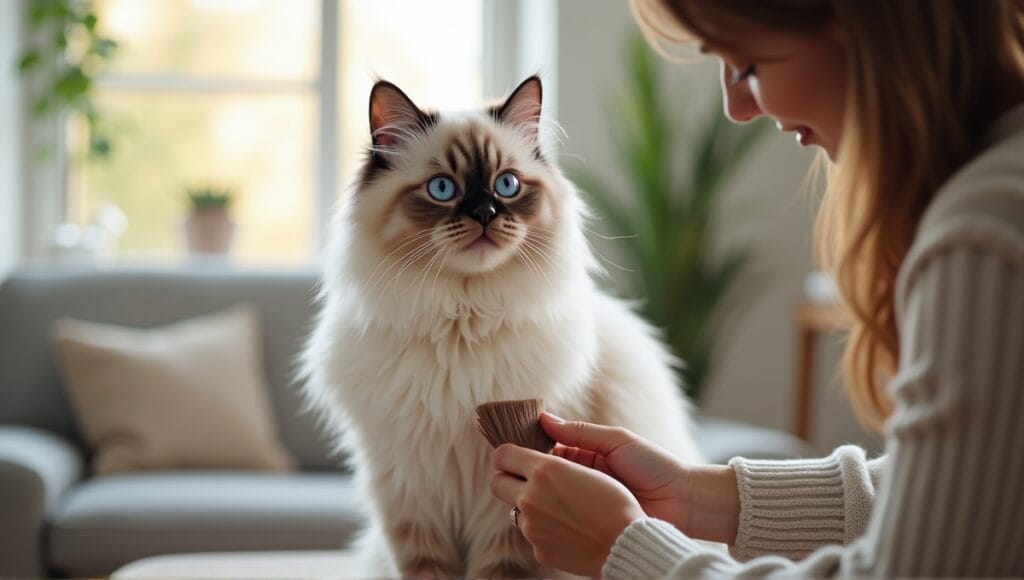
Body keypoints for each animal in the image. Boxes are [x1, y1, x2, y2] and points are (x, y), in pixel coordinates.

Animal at [299, 76, 704, 577]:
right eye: (442, 188)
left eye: (506, 185)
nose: (486, 213)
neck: (462, 322)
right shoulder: (411, 500)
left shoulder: (503, 513)